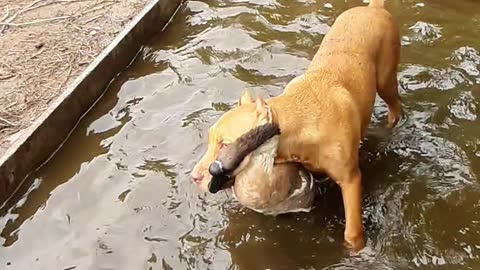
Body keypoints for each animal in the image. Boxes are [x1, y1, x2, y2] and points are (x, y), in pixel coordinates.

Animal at [191, 0, 402, 252]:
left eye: (225, 144)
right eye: (210, 139)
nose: (194, 177)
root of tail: (372, 8)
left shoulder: (351, 181)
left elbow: (352, 232)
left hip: (386, 80)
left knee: (395, 106)